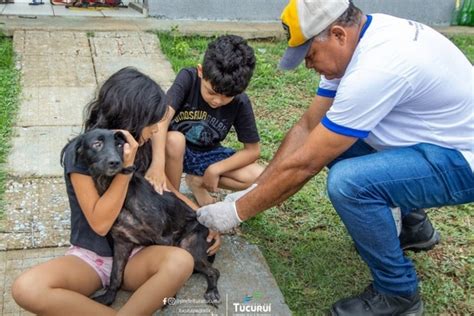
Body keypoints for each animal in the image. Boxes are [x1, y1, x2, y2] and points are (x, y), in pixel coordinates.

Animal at [60, 128, 220, 306]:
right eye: (97, 144)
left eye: (120, 145)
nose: (115, 162)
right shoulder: (122, 243)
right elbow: (115, 275)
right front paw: (108, 298)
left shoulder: (164, 238)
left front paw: (171, 295)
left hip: (188, 244)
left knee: (214, 271)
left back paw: (212, 291)